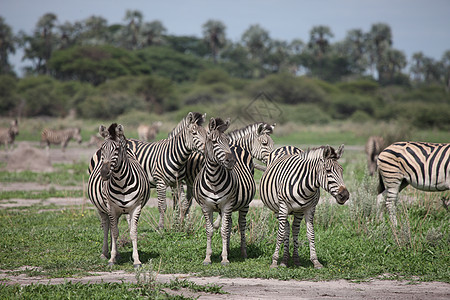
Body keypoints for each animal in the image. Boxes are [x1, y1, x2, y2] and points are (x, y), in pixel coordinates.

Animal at [88, 123, 151, 268]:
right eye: (103, 148)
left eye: (116, 149)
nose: (104, 174)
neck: (121, 182)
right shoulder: (110, 207)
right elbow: (115, 232)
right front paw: (111, 259)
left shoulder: (136, 207)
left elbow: (133, 232)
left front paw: (137, 260)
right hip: (101, 208)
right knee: (107, 227)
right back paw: (105, 253)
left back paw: (116, 253)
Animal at [193, 117, 256, 264]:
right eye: (214, 141)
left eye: (226, 141)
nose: (231, 161)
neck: (213, 179)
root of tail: (236, 145)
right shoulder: (206, 207)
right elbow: (210, 230)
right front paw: (208, 257)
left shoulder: (227, 205)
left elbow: (223, 230)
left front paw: (225, 259)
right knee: (229, 224)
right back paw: (227, 248)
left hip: (244, 204)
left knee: (241, 224)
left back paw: (243, 253)